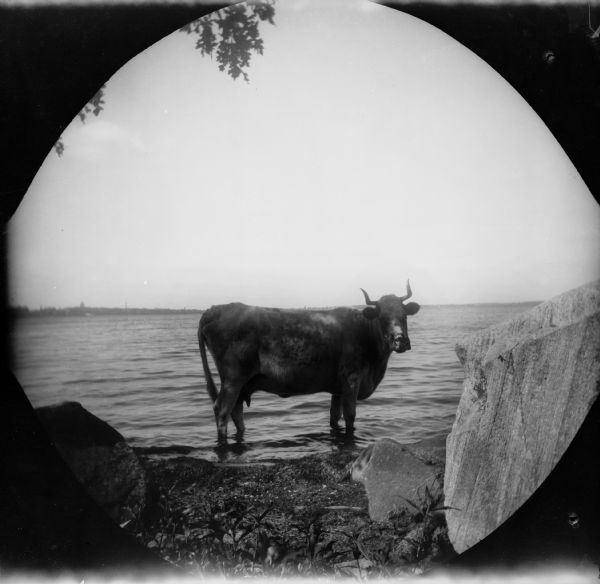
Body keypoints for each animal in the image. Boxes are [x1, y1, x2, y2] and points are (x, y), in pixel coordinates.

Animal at [199, 280, 420, 440]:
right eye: (382, 317)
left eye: (404, 315)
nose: (400, 340)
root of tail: (214, 309)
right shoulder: (351, 379)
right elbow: (350, 415)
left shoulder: (338, 387)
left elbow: (334, 417)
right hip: (233, 379)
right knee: (222, 410)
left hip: (240, 384)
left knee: (236, 412)